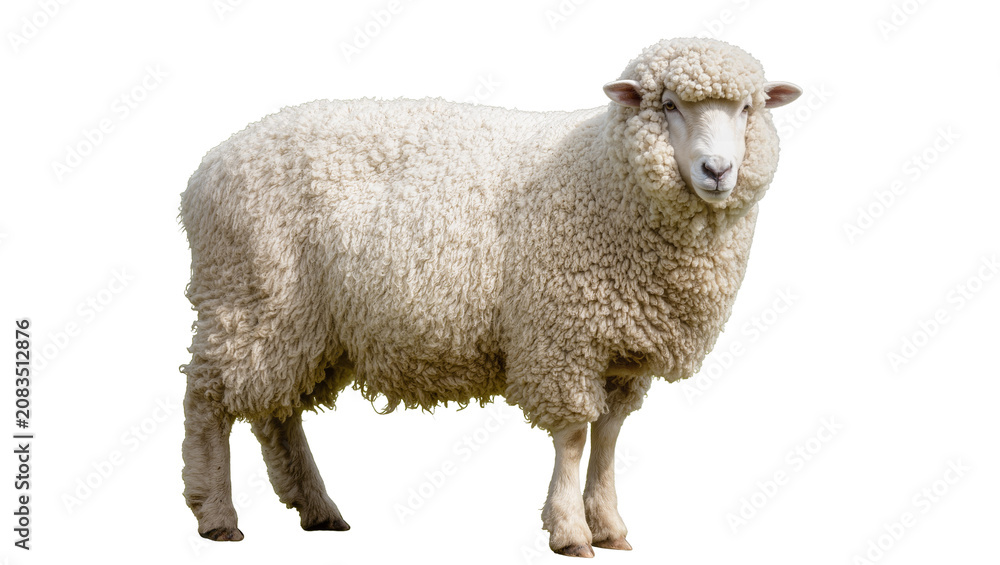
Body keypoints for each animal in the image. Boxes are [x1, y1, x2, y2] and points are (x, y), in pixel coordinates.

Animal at [179, 37, 801, 557]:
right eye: (668, 105)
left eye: (748, 109)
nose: (717, 170)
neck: (605, 174)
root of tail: (208, 166)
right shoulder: (561, 337)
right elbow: (574, 437)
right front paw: (570, 532)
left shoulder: (620, 352)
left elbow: (608, 438)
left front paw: (609, 526)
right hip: (247, 294)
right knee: (208, 400)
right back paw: (217, 515)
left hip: (300, 323)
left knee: (275, 411)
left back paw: (317, 507)